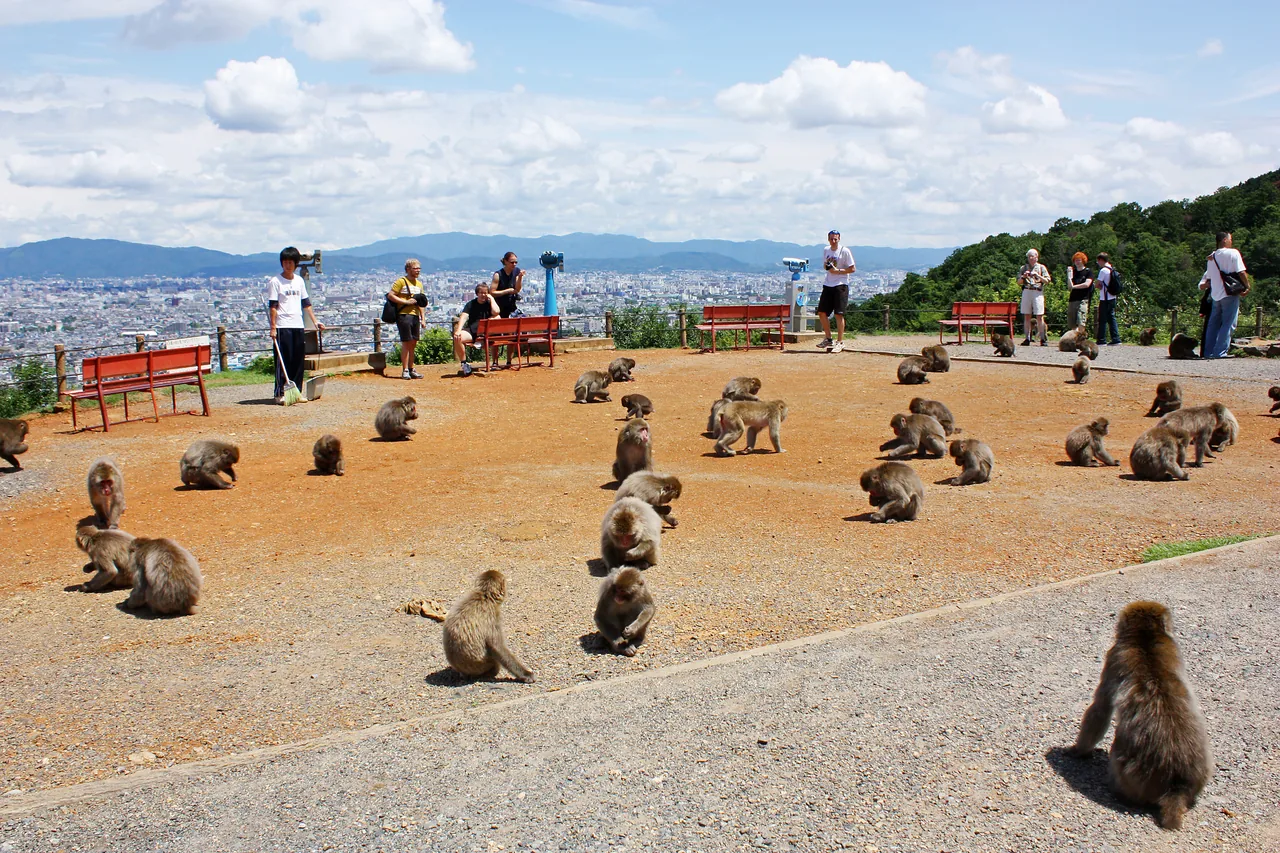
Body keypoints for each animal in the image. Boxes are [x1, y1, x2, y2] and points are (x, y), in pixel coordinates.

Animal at [1069, 601, 1212, 830]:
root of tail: (1177, 785)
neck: (1145, 636)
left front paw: (1078, 750)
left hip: (1130, 776)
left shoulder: (1113, 656)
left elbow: (1100, 710)